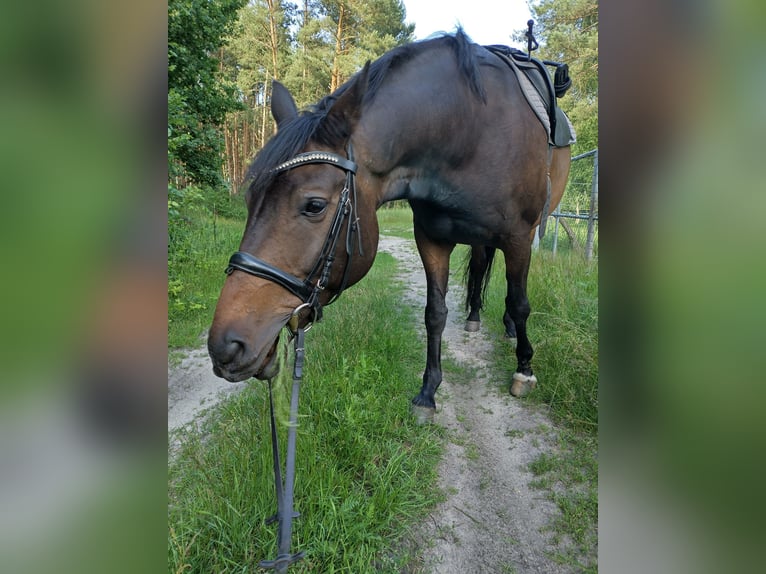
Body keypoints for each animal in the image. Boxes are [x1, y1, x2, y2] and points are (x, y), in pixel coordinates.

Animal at [210, 30, 568, 418]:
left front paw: (524, 369)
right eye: (249, 200)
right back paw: (474, 316)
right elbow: (435, 312)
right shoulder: (432, 238)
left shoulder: (519, 236)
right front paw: (428, 391)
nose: (224, 346)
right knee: (479, 267)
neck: (470, 133)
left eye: (314, 205)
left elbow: (520, 303)